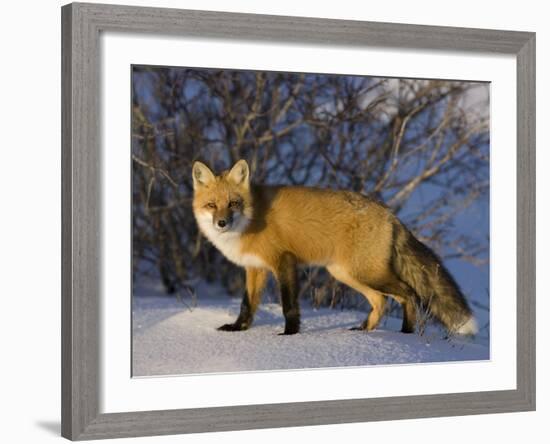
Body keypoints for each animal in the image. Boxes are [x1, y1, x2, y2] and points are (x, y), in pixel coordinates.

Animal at [194, 160, 478, 336]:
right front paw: (238, 329)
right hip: (347, 274)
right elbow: (247, 305)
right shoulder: (255, 268)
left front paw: (289, 334)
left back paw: (406, 334)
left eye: (233, 203)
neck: (251, 220)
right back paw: (364, 331)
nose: (221, 223)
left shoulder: (284, 261)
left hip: (365, 273)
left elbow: (289, 305)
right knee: (382, 301)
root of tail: (390, 214)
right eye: (211, 205)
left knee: (408, 294)